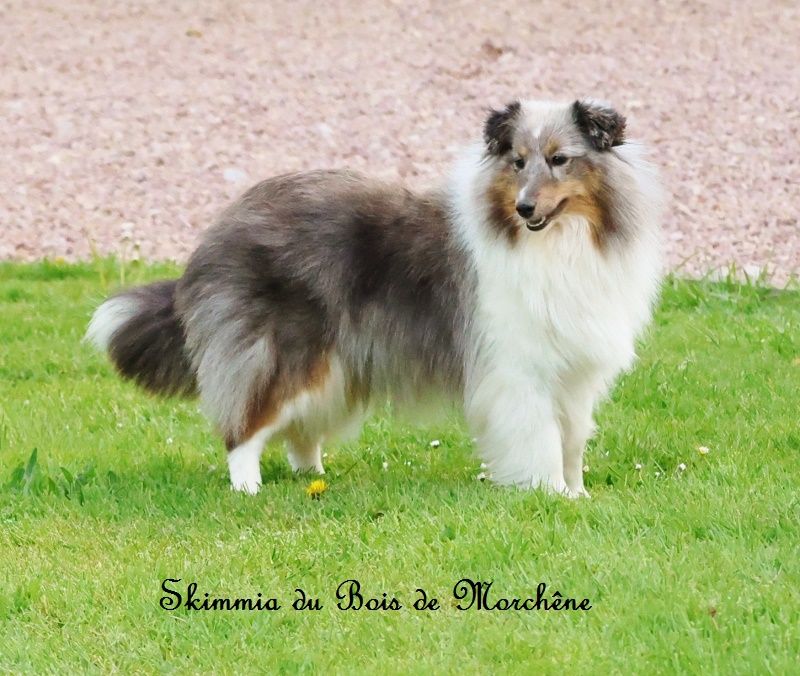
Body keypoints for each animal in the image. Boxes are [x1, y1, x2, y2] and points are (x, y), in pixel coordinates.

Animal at [86, 97, 664, 496]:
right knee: (245, 424)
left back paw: (315, 477)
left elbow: (571, 441)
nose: (525, 208)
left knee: (300, 432)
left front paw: (575, 494)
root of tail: (217, 230)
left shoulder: (573, 372)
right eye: (518, 162)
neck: (558, 243)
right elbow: (540, 438)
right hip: (285, 352)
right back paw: (248, 487)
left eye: (560, 159)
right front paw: (544, 493)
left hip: (336, 367)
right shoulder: (520, 370)